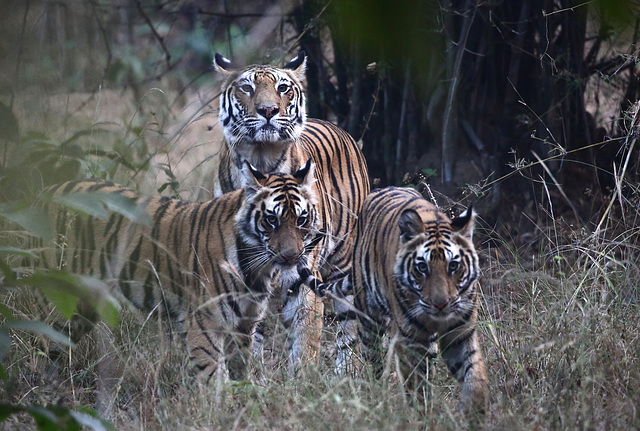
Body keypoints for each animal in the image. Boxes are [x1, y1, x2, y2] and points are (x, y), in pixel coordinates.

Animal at [29, 161, 320, 382]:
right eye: (272, 219)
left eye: (301, 219)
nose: (291, 255)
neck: (258, 268)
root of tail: (48, 190)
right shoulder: (204, 320)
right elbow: (214, 376)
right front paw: (219, 411)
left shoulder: (244, 324)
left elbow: (240, 368)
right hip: (56, 300)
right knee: (42, 346)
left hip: (82, 308)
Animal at [211, 51, 370, 374]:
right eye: (246, 88)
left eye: (282, 88)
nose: (268, 110)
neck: (261, 158)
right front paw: (252, 378)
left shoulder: (302, 274)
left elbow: (305, 343)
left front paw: (303, 382)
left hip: (344, 263)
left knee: (349, 328)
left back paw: (346, 374)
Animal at [316, 187, 490, 416]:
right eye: (422, 267)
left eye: (453, 265)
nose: (441, 304)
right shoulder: (410, 338)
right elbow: (417, 386)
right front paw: (421, 416)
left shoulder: (460, 332)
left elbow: (474, 375)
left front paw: (473, 412)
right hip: (369, 321)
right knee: (373, 363)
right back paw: (375, 399)